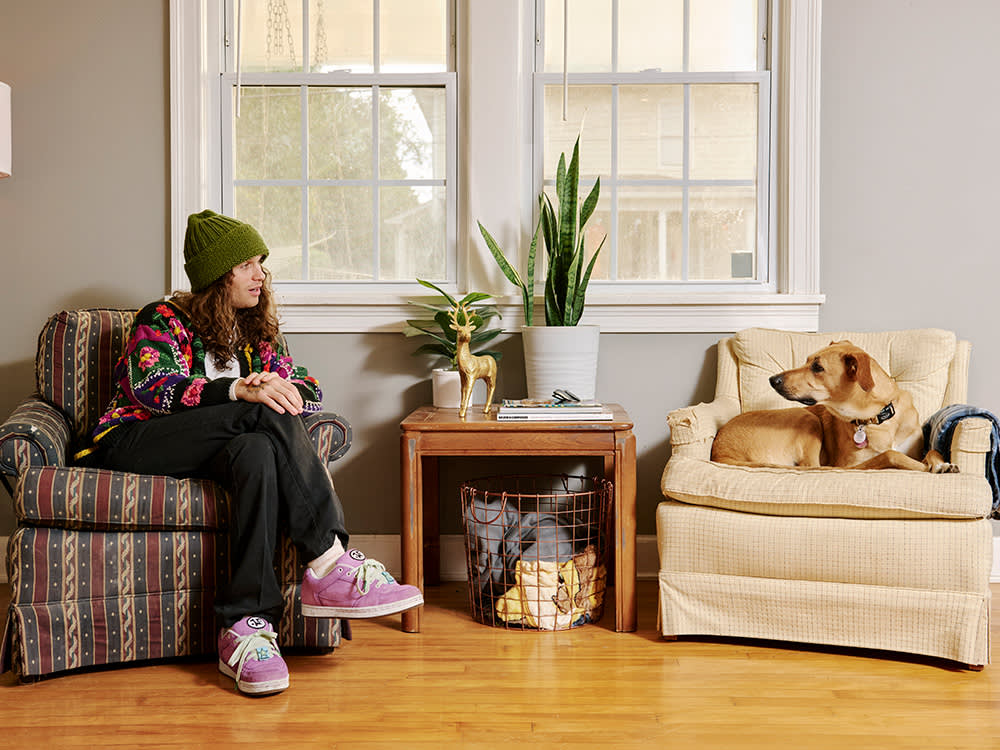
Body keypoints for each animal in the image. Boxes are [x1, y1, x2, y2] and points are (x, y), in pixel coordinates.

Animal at [716, 342, 956, 472]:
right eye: (807, 361)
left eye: (817, 367)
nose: (772, 380)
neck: (877, 418)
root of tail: (720, 452)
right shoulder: (847, 466)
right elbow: (890, 455)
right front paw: (927, 468)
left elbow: (932, 449)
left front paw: (942, 464)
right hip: (806, 418)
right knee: (812, 466)